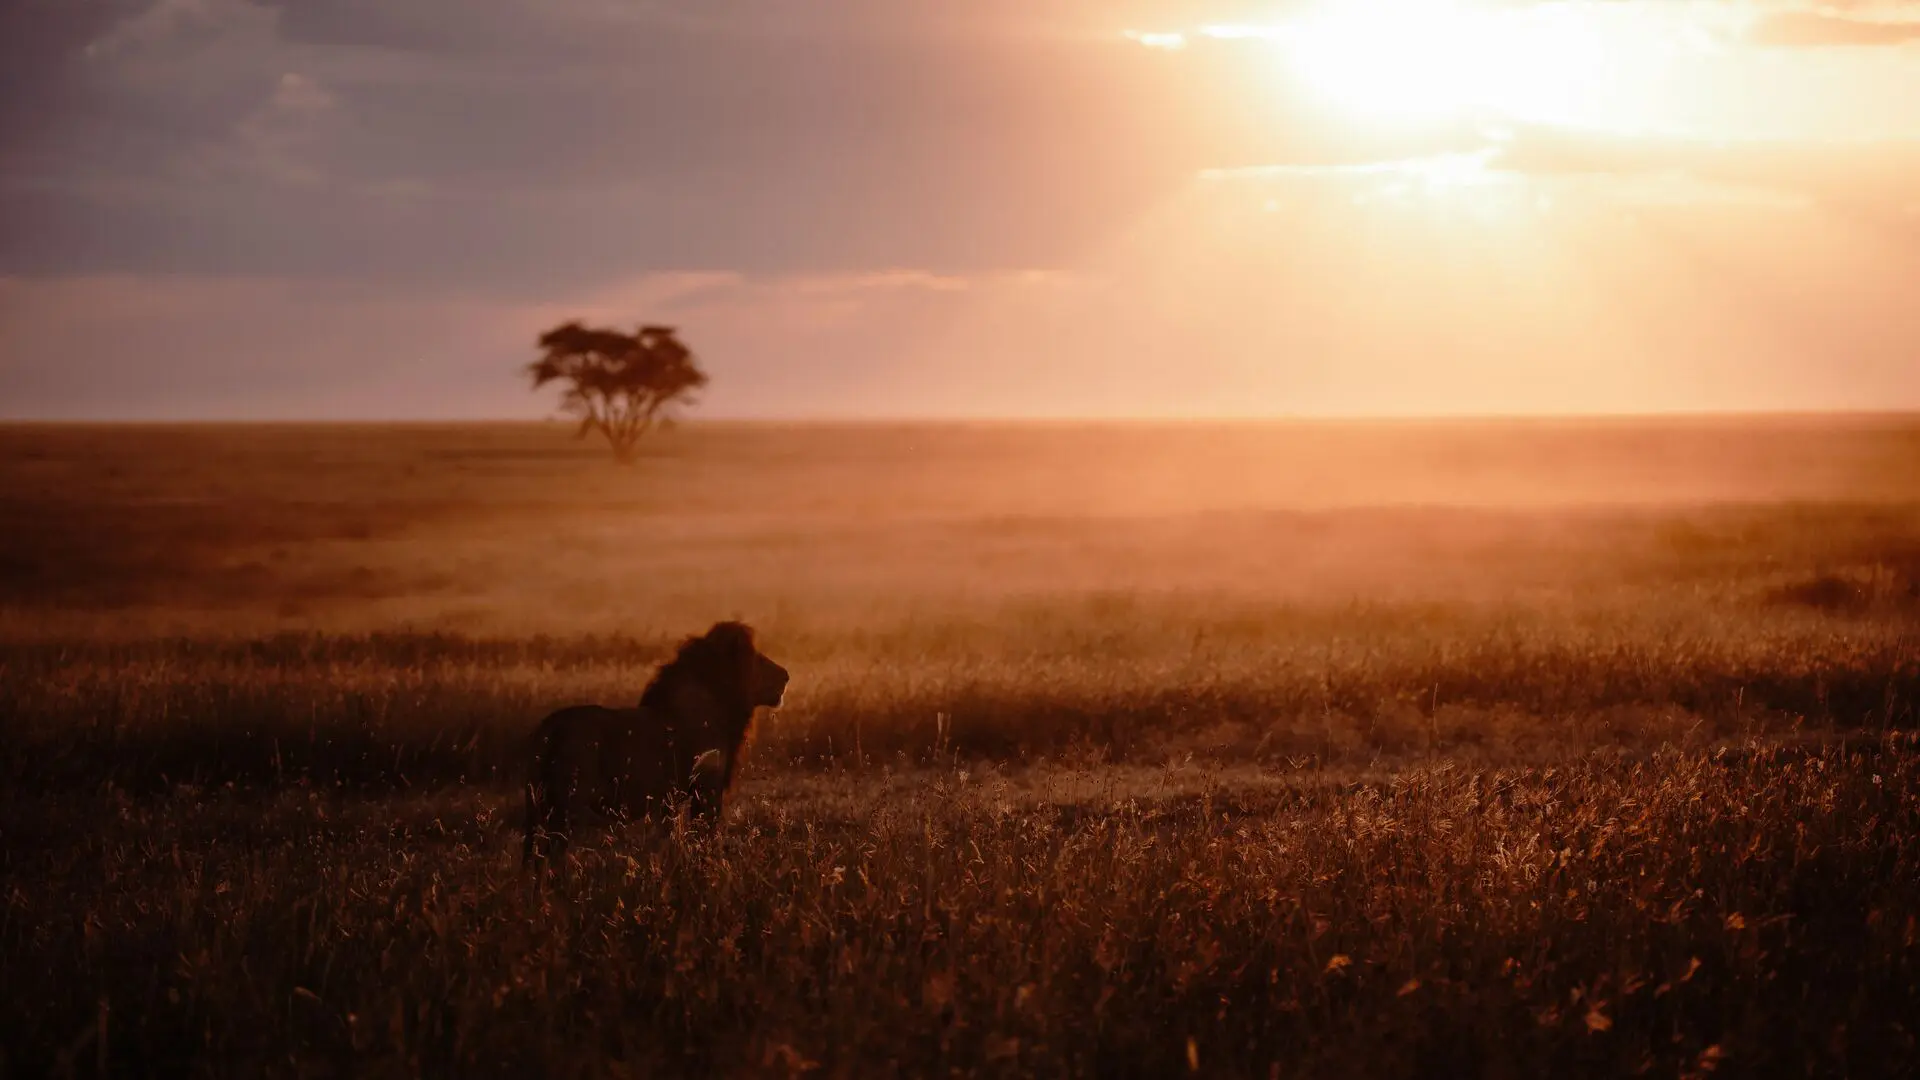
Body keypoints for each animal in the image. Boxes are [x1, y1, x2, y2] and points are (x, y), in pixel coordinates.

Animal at [522, 620, 789, 870]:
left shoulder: (670, 800)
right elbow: (704, 838)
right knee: (551, 856)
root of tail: (549, 726)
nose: (786, 675)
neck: (720, 701)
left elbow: (671, 838)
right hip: (567, 806)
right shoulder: (707, 788)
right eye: (757, 658)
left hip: (539, 806)